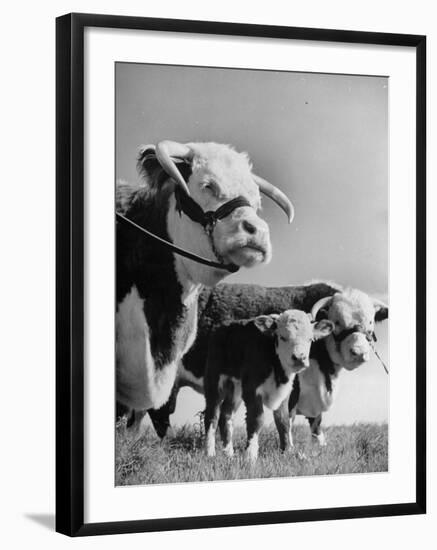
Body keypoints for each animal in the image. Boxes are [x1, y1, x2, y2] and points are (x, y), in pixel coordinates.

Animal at [203, 310, 332, 462]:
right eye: (282, 337)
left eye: (310, 339)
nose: (299, 358)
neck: (278, 370)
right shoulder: (252, 389)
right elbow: (256, 419)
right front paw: (250, 455)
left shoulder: (285, 393)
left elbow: (283, 421)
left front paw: (287, 452)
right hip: (214, 381)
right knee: (212, 414)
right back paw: (210, 452)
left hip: (236, 388)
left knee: (226, 414)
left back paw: (229, 453)